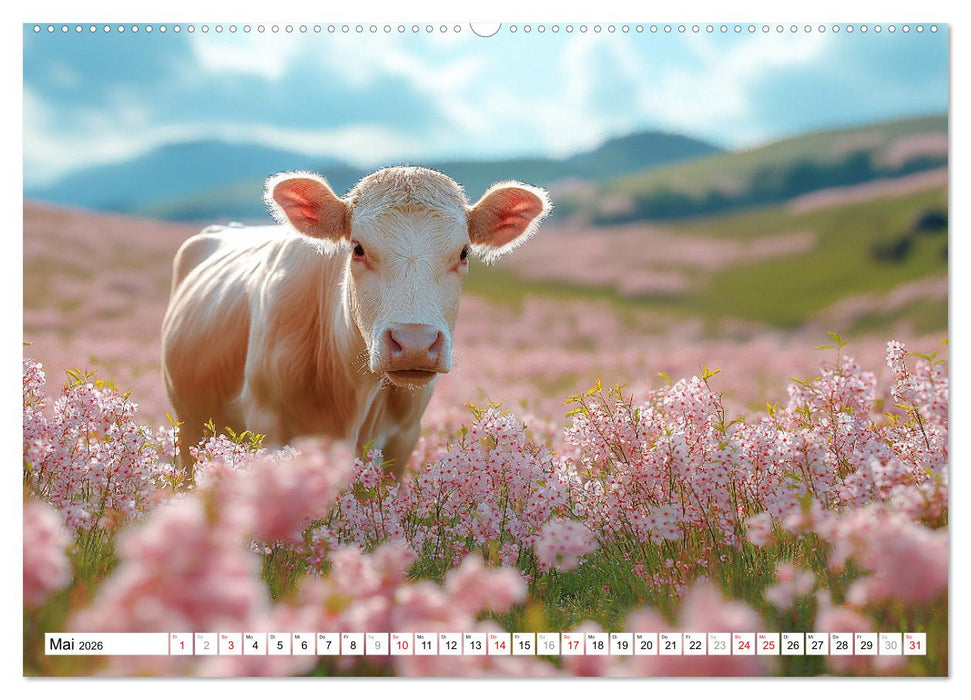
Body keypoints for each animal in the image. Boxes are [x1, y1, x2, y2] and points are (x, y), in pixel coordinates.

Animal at [161, 166, 552, 476]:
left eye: (464, 252)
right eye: (358, 248)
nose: (414, 343)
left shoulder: (403, 439)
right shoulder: (267, 424)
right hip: (189, 427)